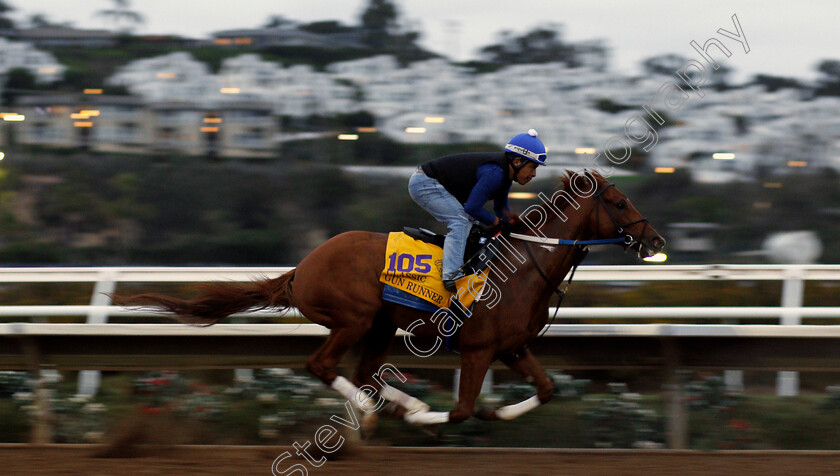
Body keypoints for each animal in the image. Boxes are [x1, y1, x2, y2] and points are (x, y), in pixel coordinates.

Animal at [121, 171, 668, 428]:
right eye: (620, 202)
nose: (656, 240)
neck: (522, 268)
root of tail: (304, 266)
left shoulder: (512, 347)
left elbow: (548, 388)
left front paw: (495, 414)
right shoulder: (477, 350)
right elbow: (462, 409)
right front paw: (432, 418)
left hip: (381, 325)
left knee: (364, 373)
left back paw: (398, 404)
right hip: (354, 319)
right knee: (324, 367)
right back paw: (376, 411)